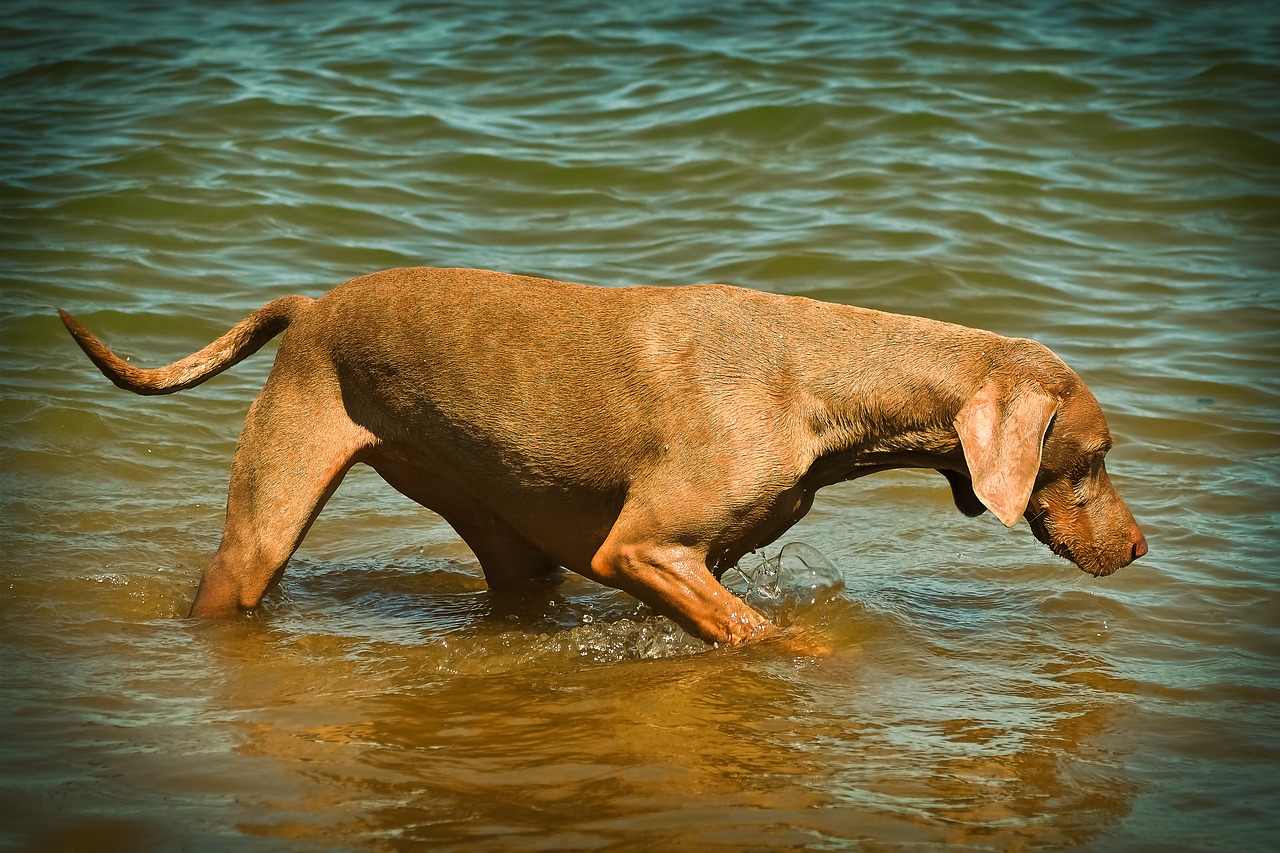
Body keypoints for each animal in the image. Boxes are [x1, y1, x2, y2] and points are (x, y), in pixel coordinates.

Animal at [57, 266, 1152, 637]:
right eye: (1093, 457)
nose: (1143, 550)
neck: (822, 383)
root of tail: (311, 306)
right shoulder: (639, 548)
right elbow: (765, 638)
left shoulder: (689, 557)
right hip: (263, 526)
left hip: (499, 527)